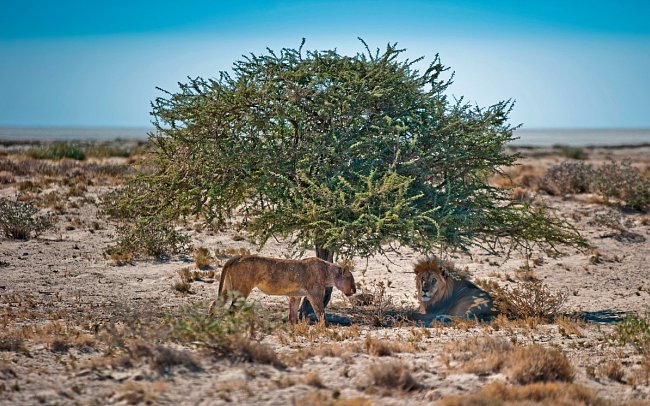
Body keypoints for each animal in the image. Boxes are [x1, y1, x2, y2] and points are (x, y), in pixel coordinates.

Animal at [213, 255, 356, 325]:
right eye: (350, 278)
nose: (354, 290)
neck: (328, 272)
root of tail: (237, 257)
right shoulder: (315, 295)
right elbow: (320, 312)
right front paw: (325, 327)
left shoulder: (295, 296)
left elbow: (292, 314)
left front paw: (294, 327)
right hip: (242, 289)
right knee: (231, 310)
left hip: (228, 289)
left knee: (215, 304)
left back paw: (211, 321)